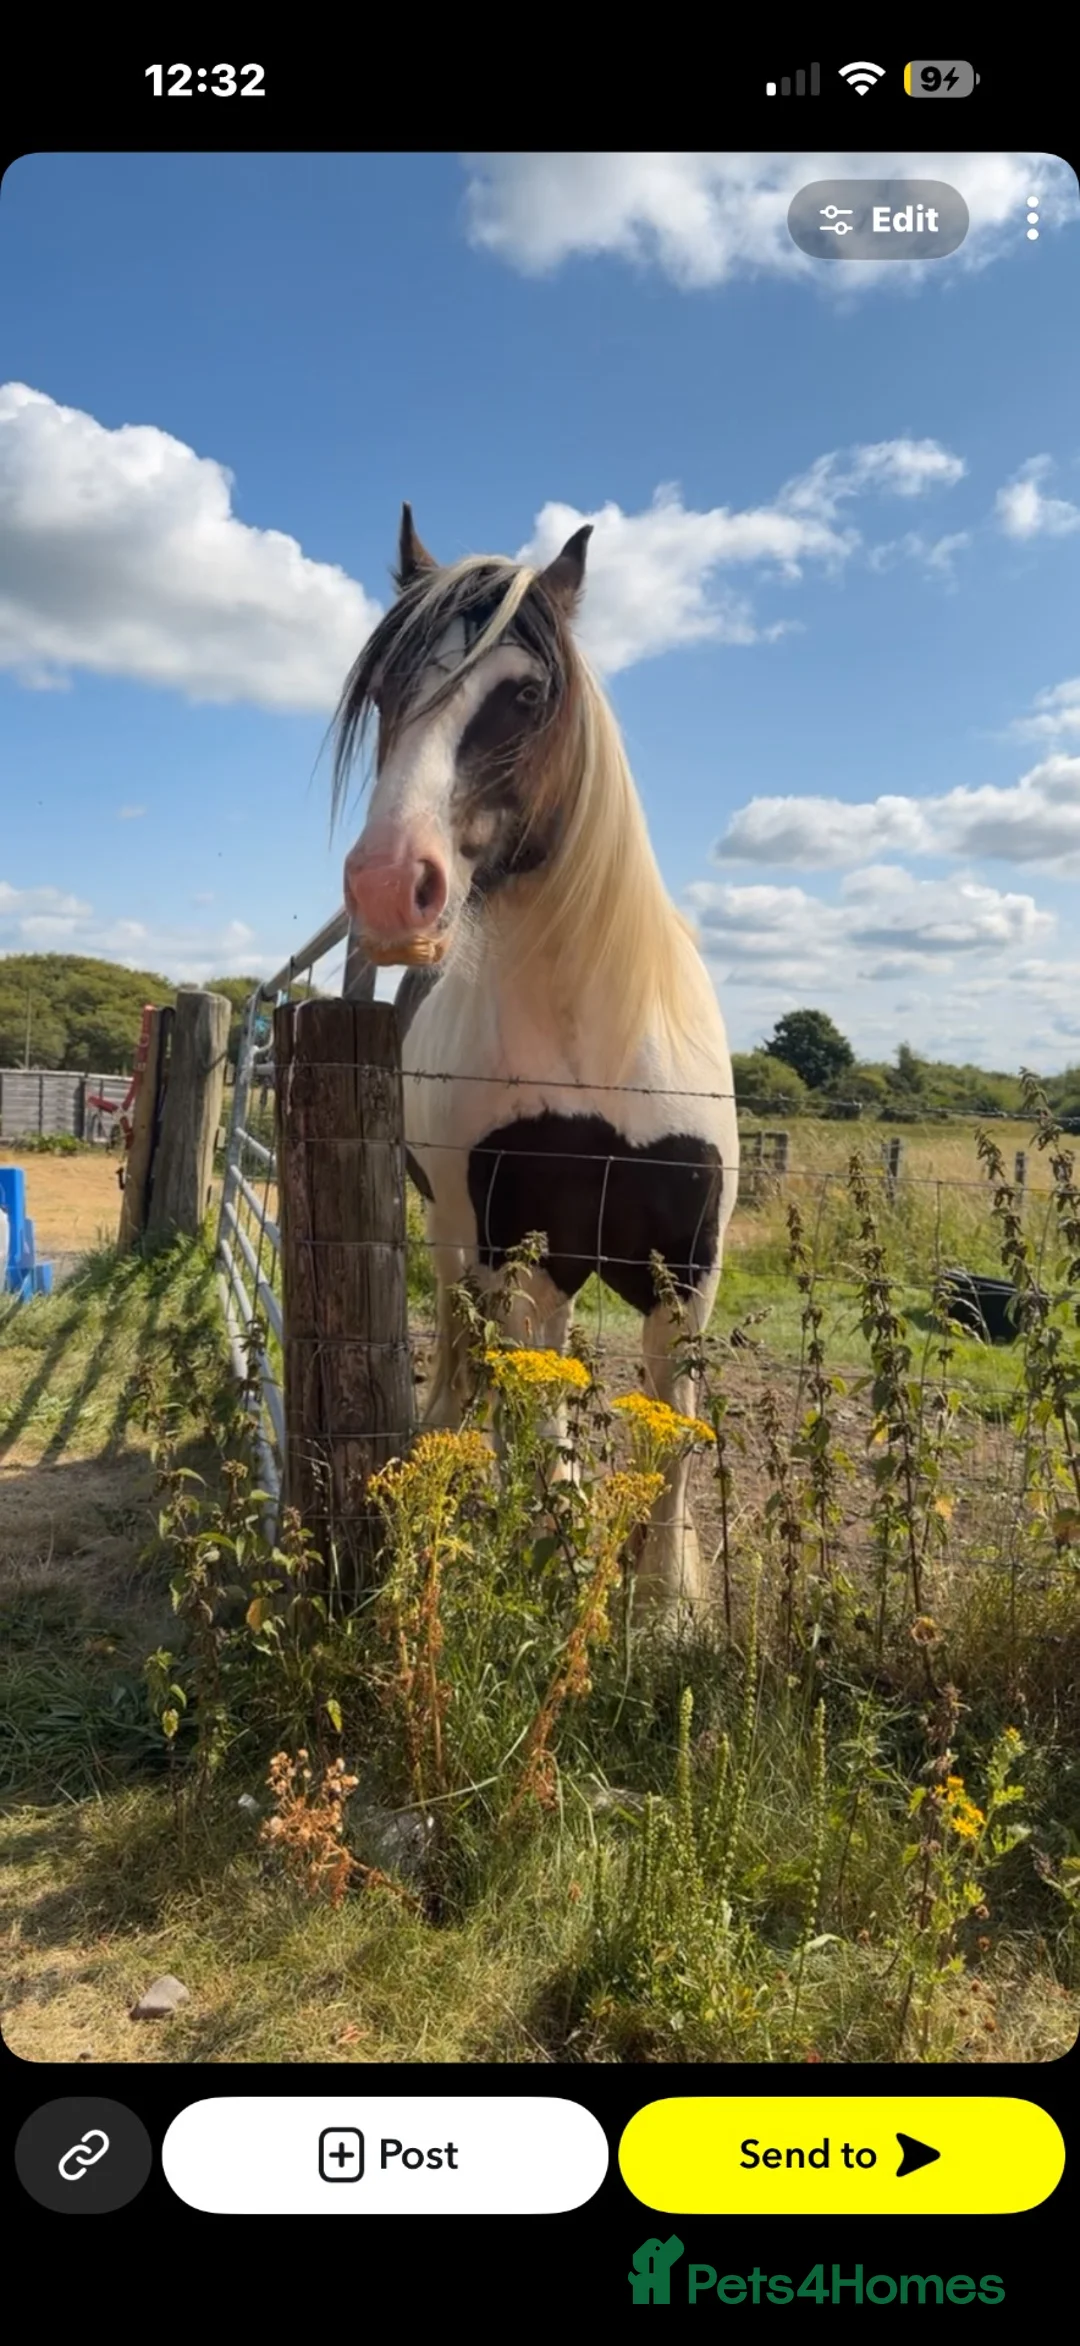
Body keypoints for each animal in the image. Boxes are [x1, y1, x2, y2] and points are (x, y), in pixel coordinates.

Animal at [334, 504, 739, 1620]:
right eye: (383, 693)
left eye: (524, 694)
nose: (389, 886)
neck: (597, 1046)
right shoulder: (502, 1243)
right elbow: (527, 1411)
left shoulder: (689, 1270)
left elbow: (676, 1437)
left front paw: (670, 1604)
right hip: (471, 1242)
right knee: (484, 1360)